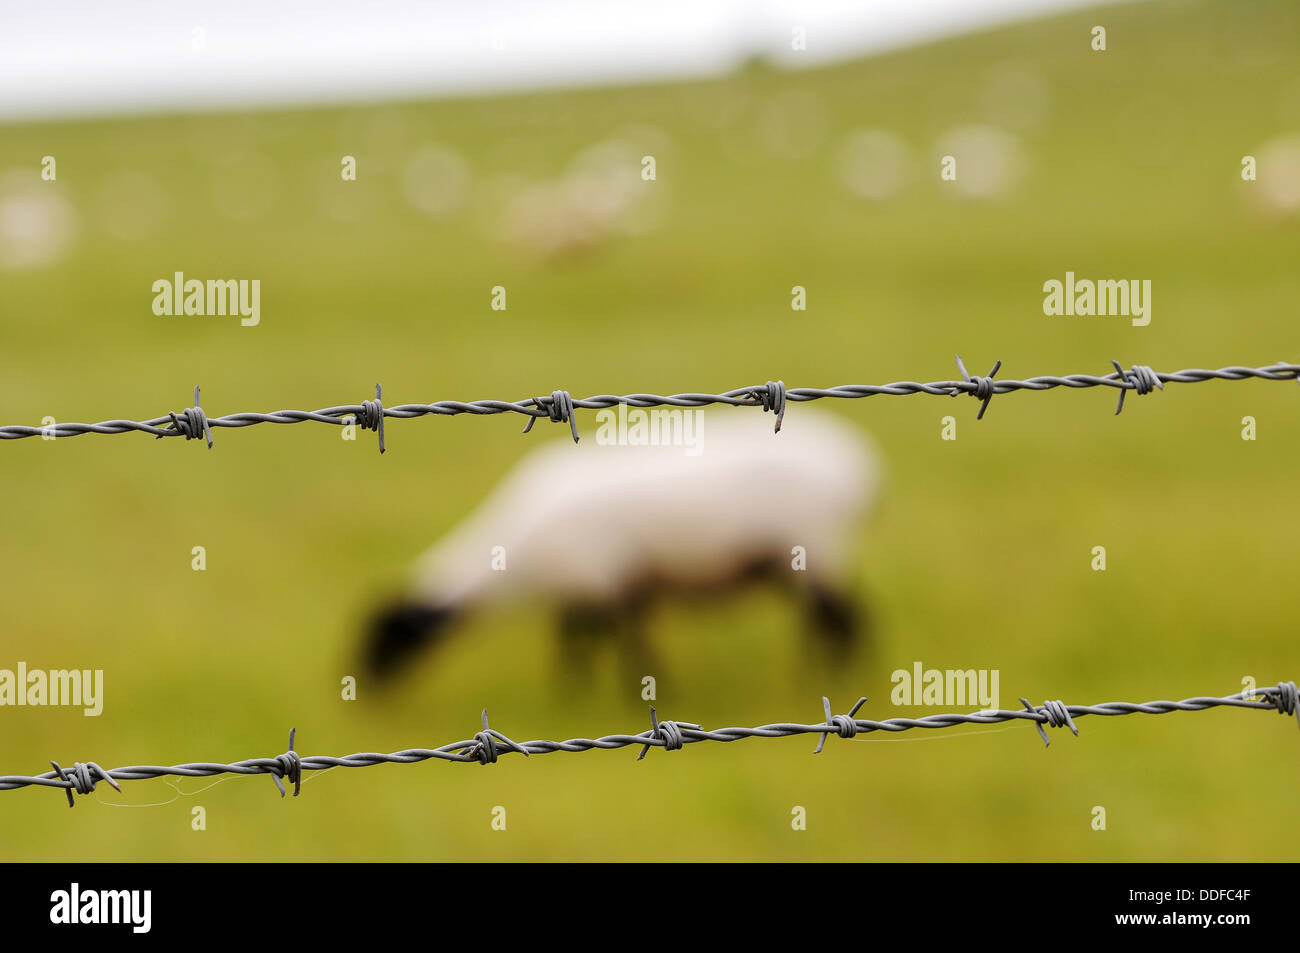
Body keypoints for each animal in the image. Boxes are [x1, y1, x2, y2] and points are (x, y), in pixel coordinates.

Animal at [362, 407, 882, 680]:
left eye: (387, 636)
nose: (362, 692)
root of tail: (860, 468)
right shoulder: (594, 586)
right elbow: (578, 639)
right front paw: (574, 694)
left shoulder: (606, 581)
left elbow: (621, 643)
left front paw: (645, 690)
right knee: (826, 618)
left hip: (816, 544)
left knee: (845, 619)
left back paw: (834, 680)